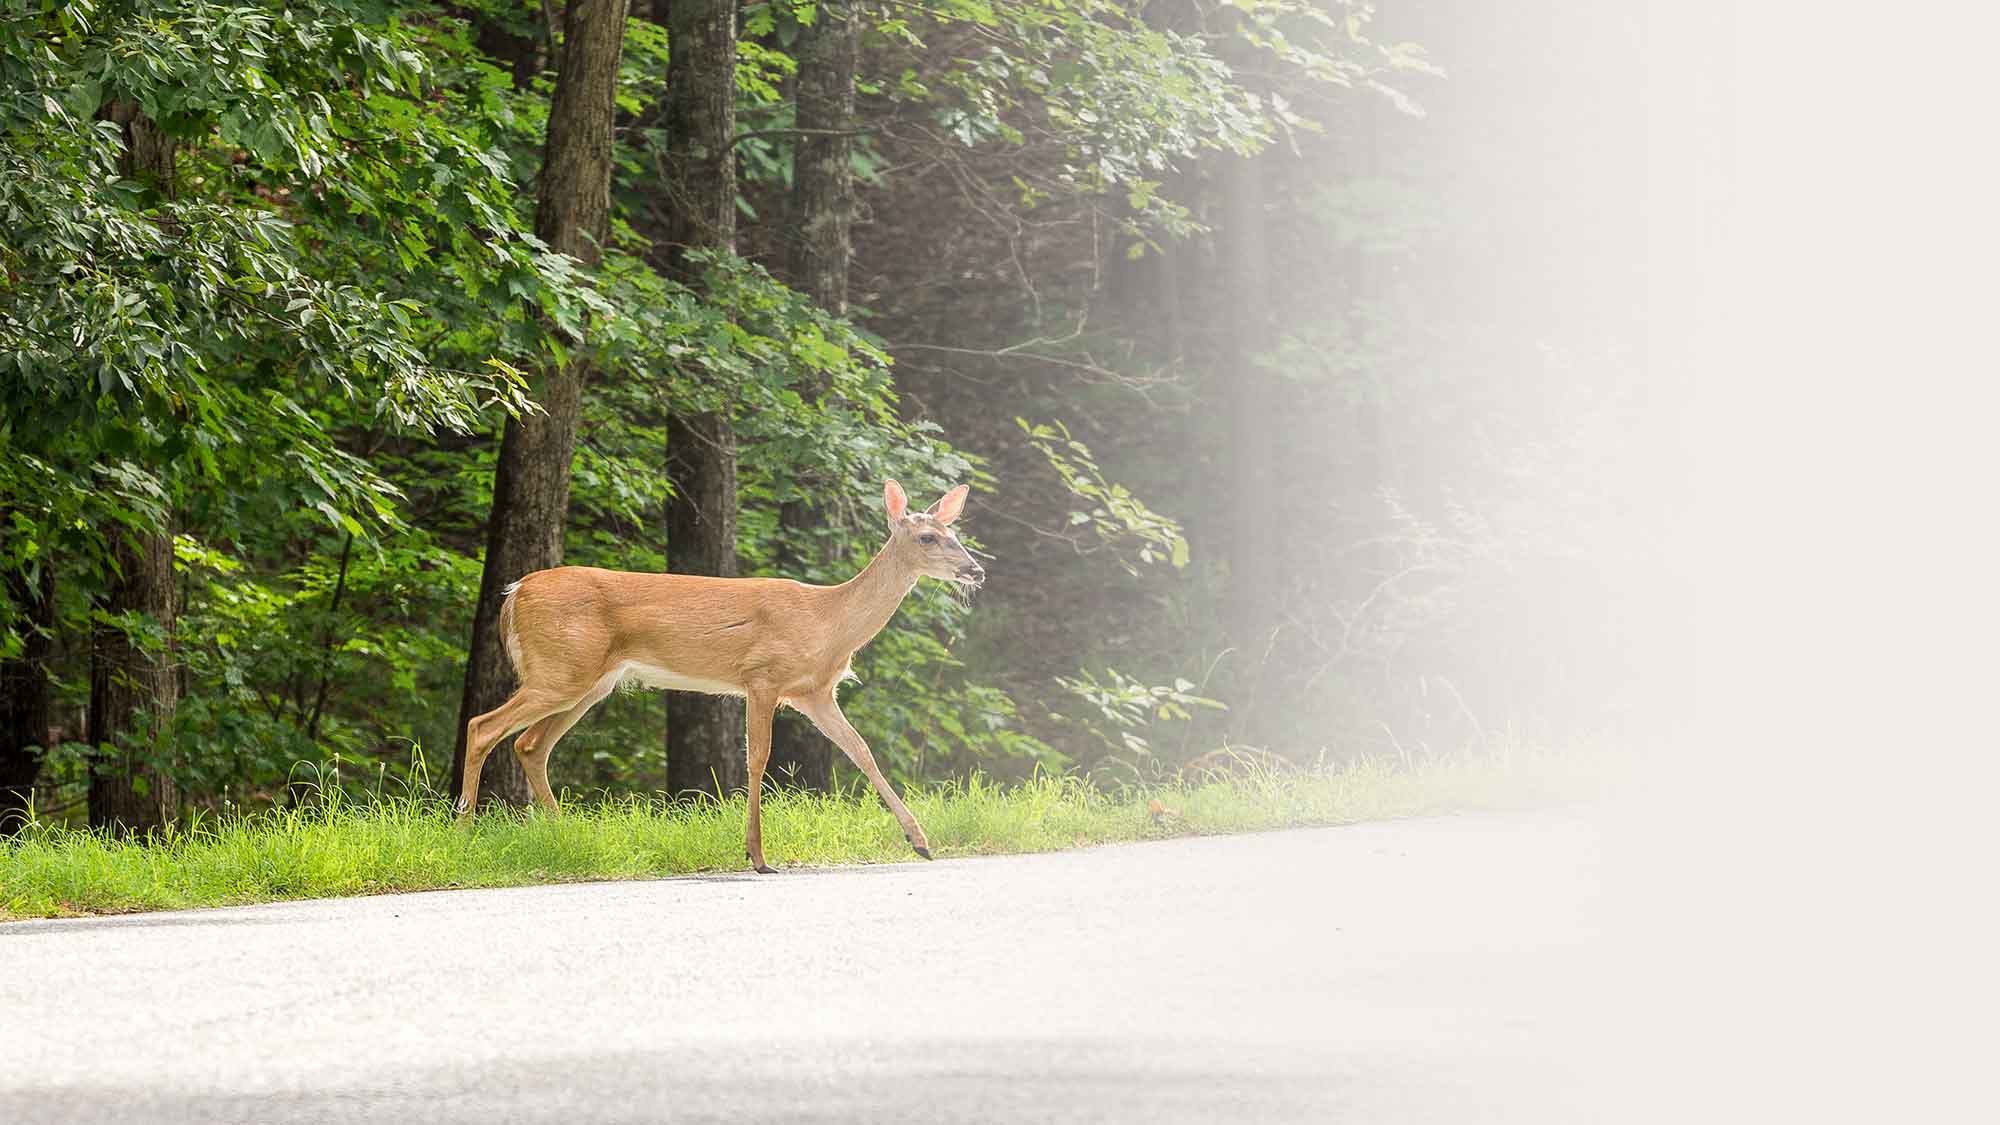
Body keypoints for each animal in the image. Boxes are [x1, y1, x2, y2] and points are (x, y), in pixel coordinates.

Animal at [456, 476, 984, 872]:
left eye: (957, 535)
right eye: (927, 538)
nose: (975, 570)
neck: (828, 621)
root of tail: (514, 592)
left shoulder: (814, 692)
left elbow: (862, 752)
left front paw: (920, 841)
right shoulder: (763, 676)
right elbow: (758, 760)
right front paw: (758, 856)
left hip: (587, 680)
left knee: (530, 745)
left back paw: (566, 832)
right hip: (560, 669)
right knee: (483, 726)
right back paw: (464, 830)